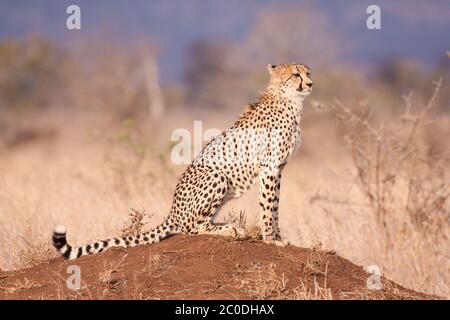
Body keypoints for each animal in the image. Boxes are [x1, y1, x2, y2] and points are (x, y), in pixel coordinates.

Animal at [52, 63, 312, 260]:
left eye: (308, 72)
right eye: (295, 74)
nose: (310, 84)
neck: (289, 100)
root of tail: (172, 212)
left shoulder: (279, 169)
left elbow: (275, 206)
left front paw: (279, 237)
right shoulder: (269, 167)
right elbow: (268, 207)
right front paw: (270, 239)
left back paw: (232, 226)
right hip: (216, 176)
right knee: (192, 228)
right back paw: (230, 229)